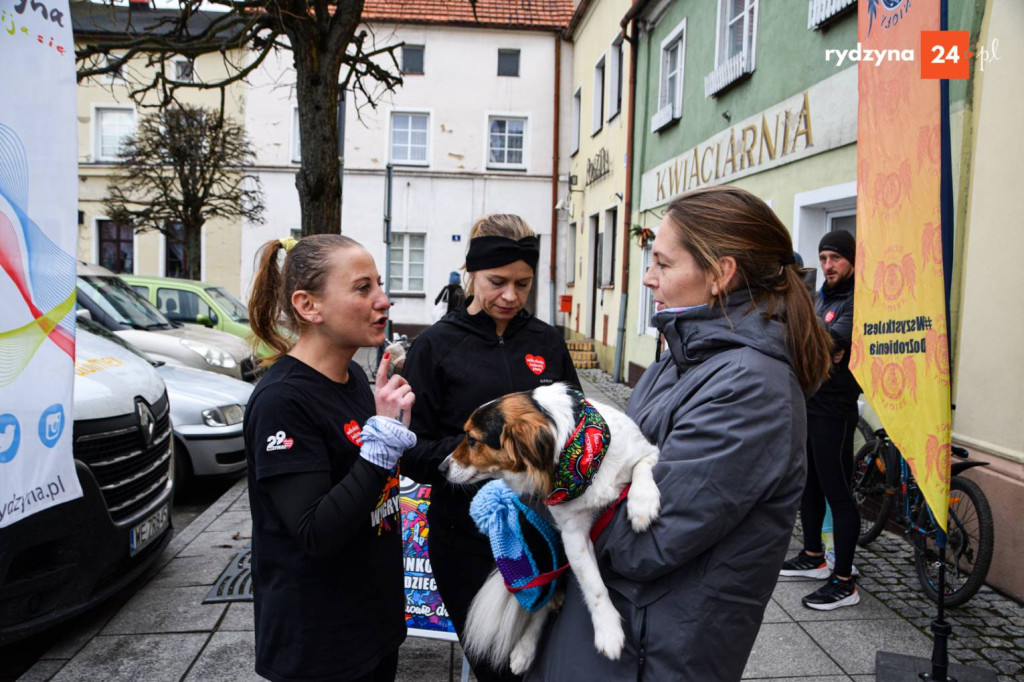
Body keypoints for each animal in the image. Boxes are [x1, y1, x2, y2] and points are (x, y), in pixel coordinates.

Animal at [444, 378, 659, 671]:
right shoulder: (572, 534)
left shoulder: (647, 451)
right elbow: (593, 585)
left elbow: (642, 467)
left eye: (472, 439)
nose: (442, 468)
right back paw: (524, 649)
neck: (581, 452)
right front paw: (608, 630)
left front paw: (643, 504)